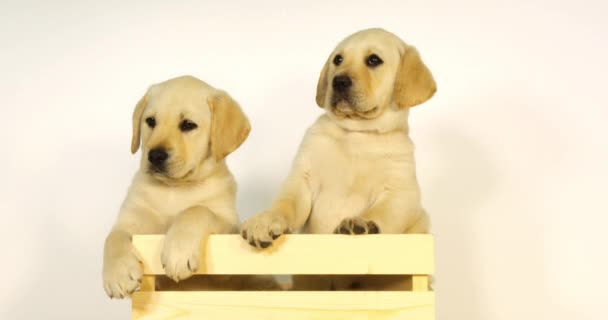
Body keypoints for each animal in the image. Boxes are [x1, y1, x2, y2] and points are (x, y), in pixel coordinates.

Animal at [103, 75, 251, 298]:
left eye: (188, 125)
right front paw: (117, 274)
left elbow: (196, 210)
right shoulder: (132, 219)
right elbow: (113, 236)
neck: (175, 189)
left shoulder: (229, 236)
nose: (155, 156)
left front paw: (178, 253)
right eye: (151, 121)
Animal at [240, 28, 434, 290]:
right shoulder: (303, 178)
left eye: (374, 60)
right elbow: (286, 203)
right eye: (338, 59)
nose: (339, 81)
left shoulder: (401, 192)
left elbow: (382, 211)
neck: (357, 133)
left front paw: (362, 224)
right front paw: (266, 220)